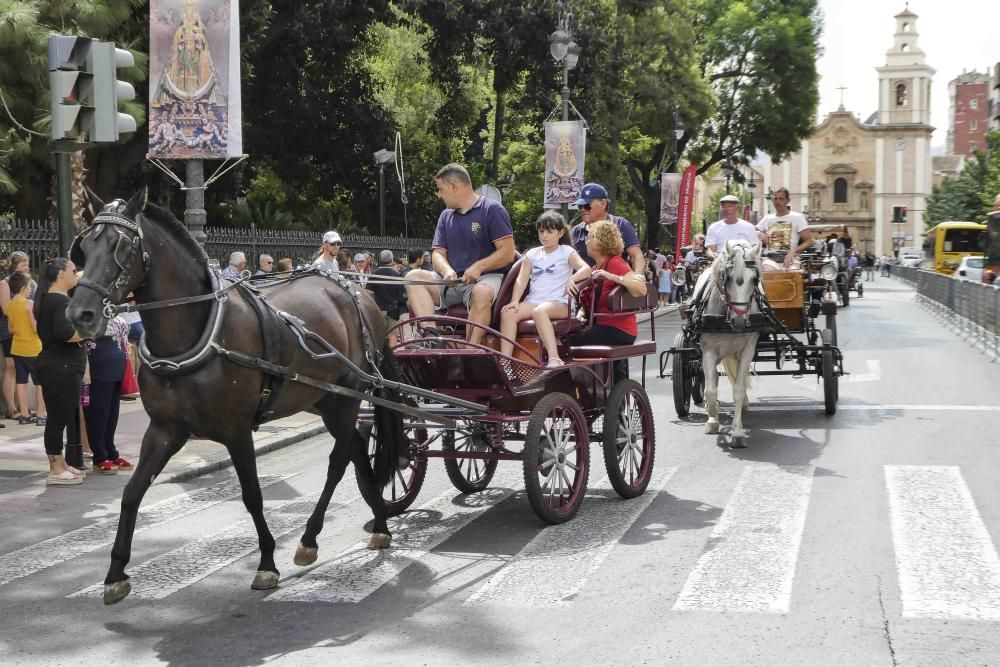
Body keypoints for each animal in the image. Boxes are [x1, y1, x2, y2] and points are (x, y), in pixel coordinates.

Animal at [66, 192, 404, 604]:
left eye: (121, 247)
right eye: (83, 248)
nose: (79, 314)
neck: (198, 333)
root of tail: (356, 292)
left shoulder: (237, 430)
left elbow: (252, 495)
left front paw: (266, 564)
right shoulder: (164, 430)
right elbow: (132, 494)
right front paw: (115, 573)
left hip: (347, 397)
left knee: (340, 459)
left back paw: (326, 533)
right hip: (323, 399)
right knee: (354, 448)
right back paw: (367, 524)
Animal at [692, 240, 760, 448]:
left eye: (755, 280)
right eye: (727, 278)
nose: (739, 321)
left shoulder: (747, 351)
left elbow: (738, 389)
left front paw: (737, 432)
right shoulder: (708, 351)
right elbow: (710, 390)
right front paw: (712, 418)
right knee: (712, 378)